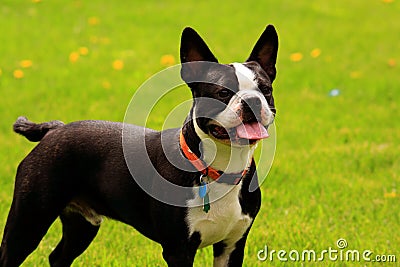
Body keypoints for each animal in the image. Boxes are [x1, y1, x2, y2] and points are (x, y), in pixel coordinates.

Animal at [0, 24, 278, 266]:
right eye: (222, 93)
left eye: (266, 90)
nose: (253, 100)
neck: (220, 168)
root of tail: (54, 129)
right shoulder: (178, 250)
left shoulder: (232, 247)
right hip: (28, 220)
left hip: (82, 225)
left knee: (58, 257)